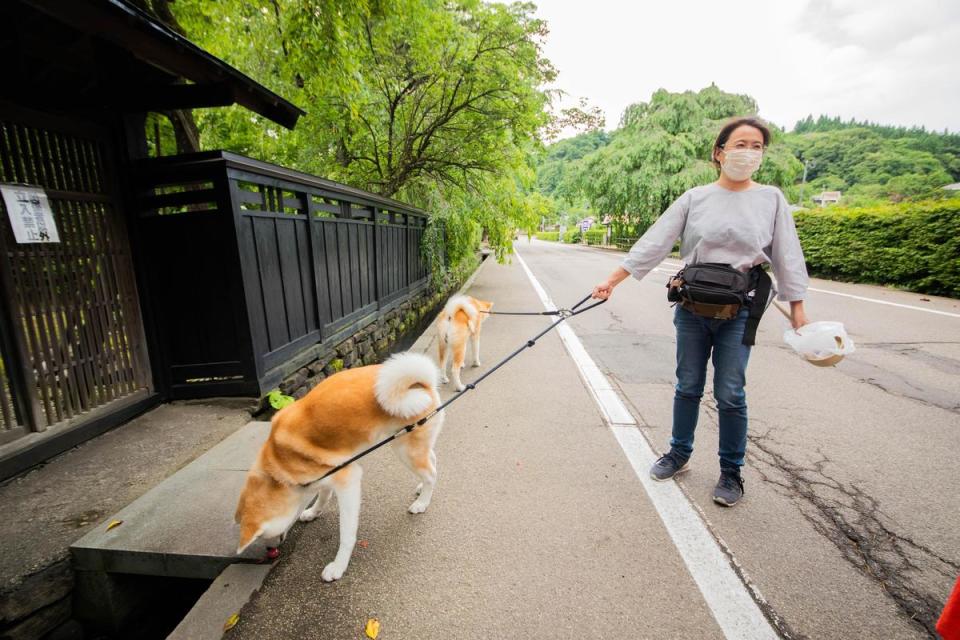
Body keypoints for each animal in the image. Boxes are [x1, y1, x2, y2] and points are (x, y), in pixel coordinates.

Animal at [234, 352, 444, 584]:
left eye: (261, 536)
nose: (269, 551)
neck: (280, 465)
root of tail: (423, 383)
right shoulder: (325, 476)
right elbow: (322, 497)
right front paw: (313, 512)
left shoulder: (348, 480)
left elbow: (347, 533)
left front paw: (338, 566)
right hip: (410, 444)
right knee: (432, 459)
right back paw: (420, 487)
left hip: (405, 450)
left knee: (431, 474)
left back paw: (422, 502)